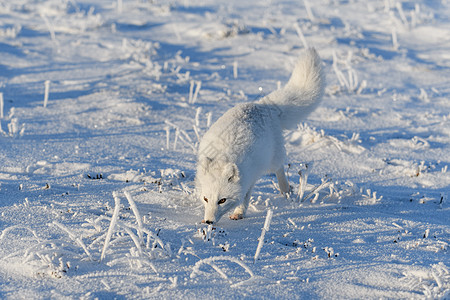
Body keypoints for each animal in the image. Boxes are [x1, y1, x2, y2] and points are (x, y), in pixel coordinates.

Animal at [195, 48, 326, 223]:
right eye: (206, 199)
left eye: (222, 200)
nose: (209, 221)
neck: (224, 155)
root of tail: (262, 105)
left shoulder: (249, 178)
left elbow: (245, 198)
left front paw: (239, 213)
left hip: (272, 159)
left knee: (279, 168)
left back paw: (286, 190)